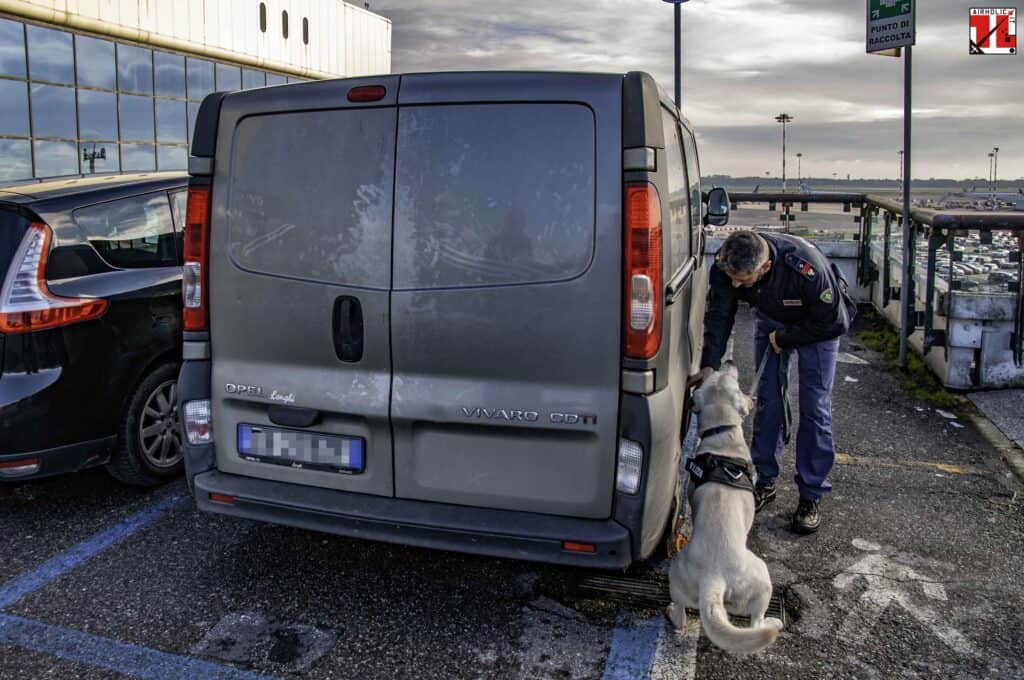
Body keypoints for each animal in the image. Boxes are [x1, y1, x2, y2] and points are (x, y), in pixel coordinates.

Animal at [663, 360, 782, 655]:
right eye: (731, 377)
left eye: (718, 374)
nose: (727, 362)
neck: (722, 432)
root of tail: (714, 579)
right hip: (763, 580)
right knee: (754, 622)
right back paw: (773, 622)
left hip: (678, 575)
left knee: (682, 612)